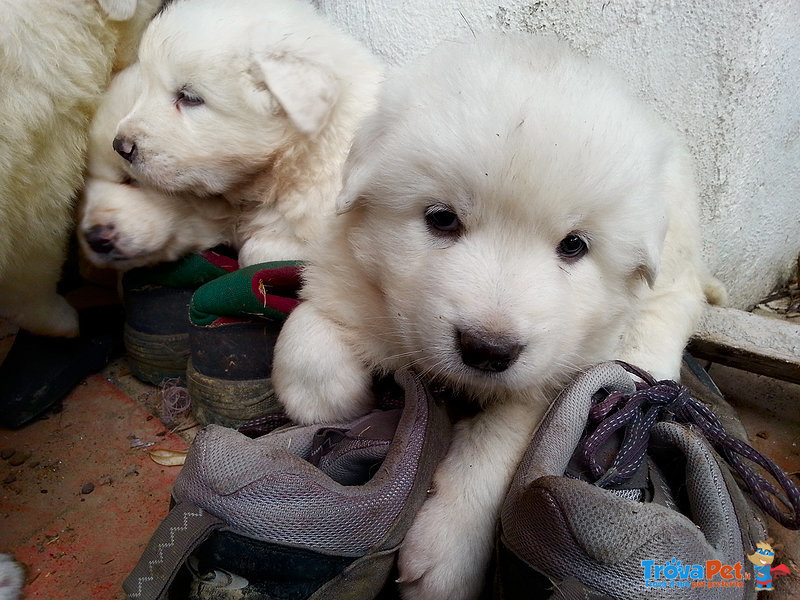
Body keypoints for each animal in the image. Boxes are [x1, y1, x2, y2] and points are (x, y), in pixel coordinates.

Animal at [274, 34, 724, 600]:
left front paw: (446, 555)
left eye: (574, 246)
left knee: (675, 304)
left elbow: (495, 450)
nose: (488, 350)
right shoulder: (351, 263)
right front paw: (328, 396)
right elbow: (313, 319)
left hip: (675, 259)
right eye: (442, 218)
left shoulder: (548, 380)